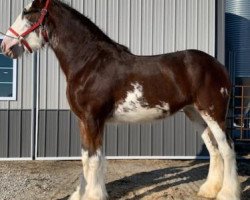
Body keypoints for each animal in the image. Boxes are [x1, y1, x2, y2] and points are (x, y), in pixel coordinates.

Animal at [0, 0, 241, 200]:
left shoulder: (93, 119)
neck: (89, 62)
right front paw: (82, 194)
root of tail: (218, 65)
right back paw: (209, 190)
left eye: (28, 13)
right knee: (214, 148)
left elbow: (94, 159)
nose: (5, 46)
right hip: (195, 113)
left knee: (227, 148)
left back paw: (227, 194)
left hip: (213, 112)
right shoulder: (84, 120)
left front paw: (94, 196)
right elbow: (86, 157)